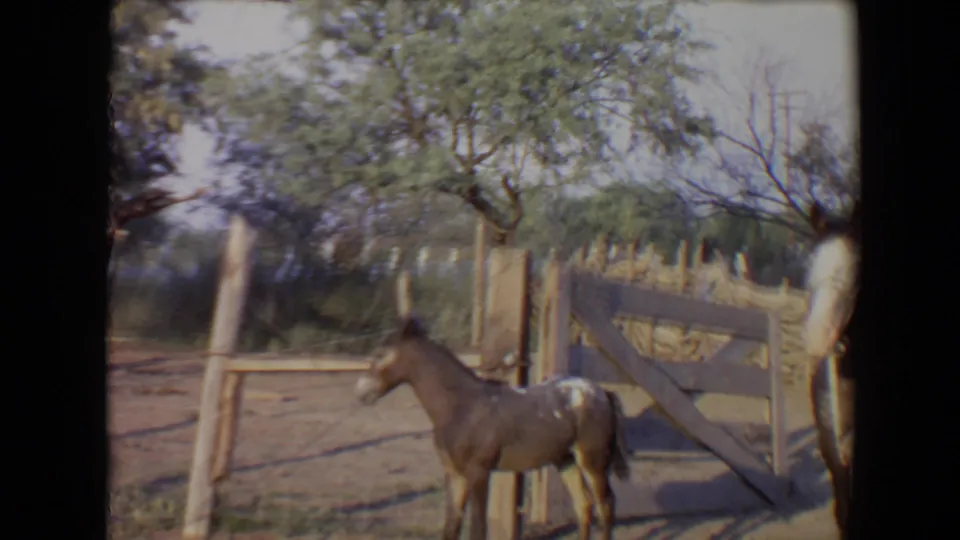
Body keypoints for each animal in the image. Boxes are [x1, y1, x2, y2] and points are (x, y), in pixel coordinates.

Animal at [354, 315, 631, 540]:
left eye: (380, 354)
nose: (361, 392)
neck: (462, 406)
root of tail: (601, 392)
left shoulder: (479, 472)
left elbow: (477, 529)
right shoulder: (454, 474)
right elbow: (451, 528)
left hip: (593, 461)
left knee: (606, 505)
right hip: (565, 460)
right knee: (584, 505)